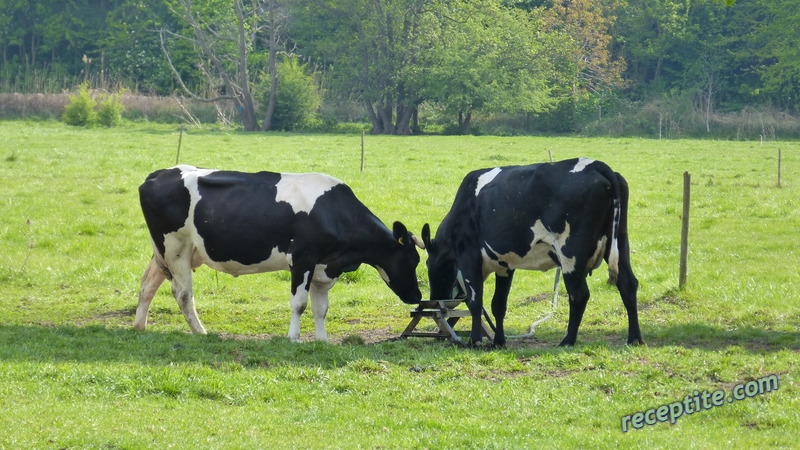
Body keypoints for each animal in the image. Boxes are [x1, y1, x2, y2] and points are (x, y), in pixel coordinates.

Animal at [136, 165, 424, 342]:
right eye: (411, 260)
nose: (417, 296)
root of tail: (158, 174)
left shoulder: (323, 266)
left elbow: (321, 308)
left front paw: (322, 339)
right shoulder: (302, 259)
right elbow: (300, 304)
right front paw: (294, 337)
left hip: (163, 252)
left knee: (147, 284)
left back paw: (139, 326)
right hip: (176, 249)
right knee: (183, 293)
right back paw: (201, 332)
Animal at [424, 158, 644, 348]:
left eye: (427, 264)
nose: (434, 299)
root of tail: (596, 164)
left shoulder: (468, 256)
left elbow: (475, 302)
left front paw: (475, 342)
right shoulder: (505, 266)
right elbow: (498, 305)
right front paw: (498, 342)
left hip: (570, 253)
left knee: (579, 294)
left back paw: (567, 340)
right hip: (619, 243)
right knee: (628, 284)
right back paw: (634, 338)